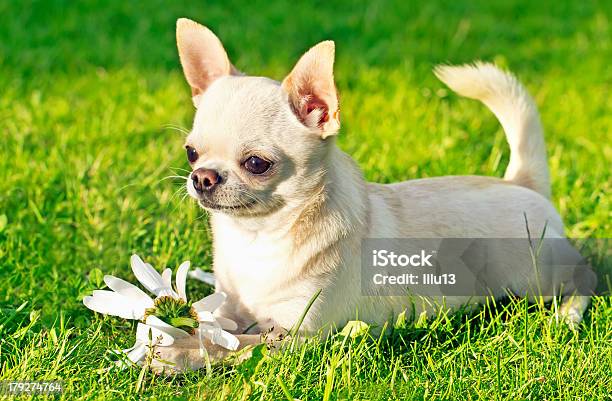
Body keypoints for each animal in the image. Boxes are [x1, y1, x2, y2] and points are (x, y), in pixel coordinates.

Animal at [157, 18, 588, 368]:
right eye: (191, 152)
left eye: (256, 163)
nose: (202, 177)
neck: (259, 237)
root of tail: (521, 182)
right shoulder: (232, 303)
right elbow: (211, 323)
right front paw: (171, 329)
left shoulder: (296, 336)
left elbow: (230, 344)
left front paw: (175, 352)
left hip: (533, 276)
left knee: (584, 278)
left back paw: (567, 315)